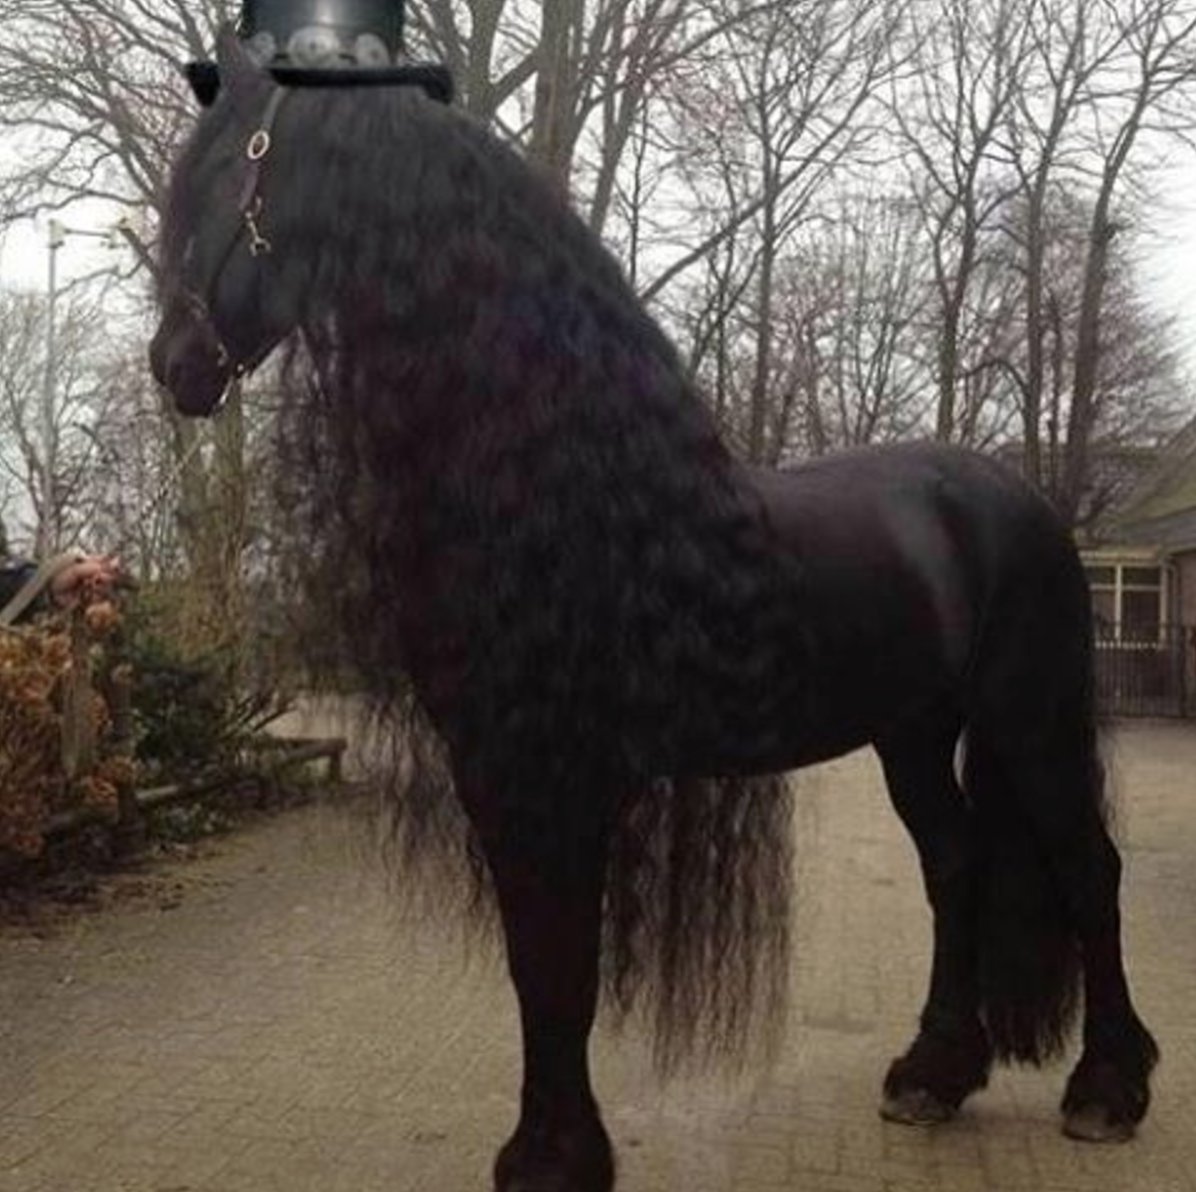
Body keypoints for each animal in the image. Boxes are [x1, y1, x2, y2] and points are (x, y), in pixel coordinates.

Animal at [150, 29, 1158, 1192]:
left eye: (233, 176)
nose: (174, 367)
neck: (563, 486)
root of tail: (1014, 499)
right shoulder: (498, 770)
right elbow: (536, 960)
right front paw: (543, 1148)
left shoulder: (567, 771)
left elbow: (564, 965)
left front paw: (559, 1157)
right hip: (912, 732)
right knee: (954, 865)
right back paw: (931, 1075)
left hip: (1030, 719)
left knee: (1088, 869)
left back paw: (1106, 1091)